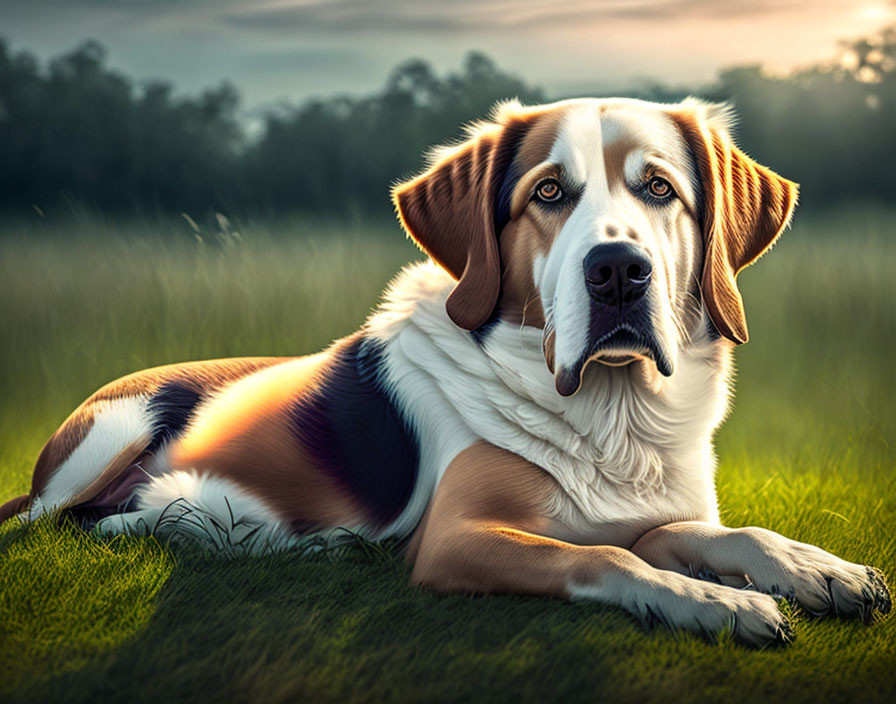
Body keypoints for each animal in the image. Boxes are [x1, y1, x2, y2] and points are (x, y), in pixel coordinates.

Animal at [1, 96, 888, 648]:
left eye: (660, 189)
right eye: (549, 192)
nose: (617, 272)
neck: (612, 413)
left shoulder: (646, 516)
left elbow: (724, 533)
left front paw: (822, 571)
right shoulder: (460, 539)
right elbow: (608, 560)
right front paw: (719, 604)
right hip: (110, 435)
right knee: (68, 523)